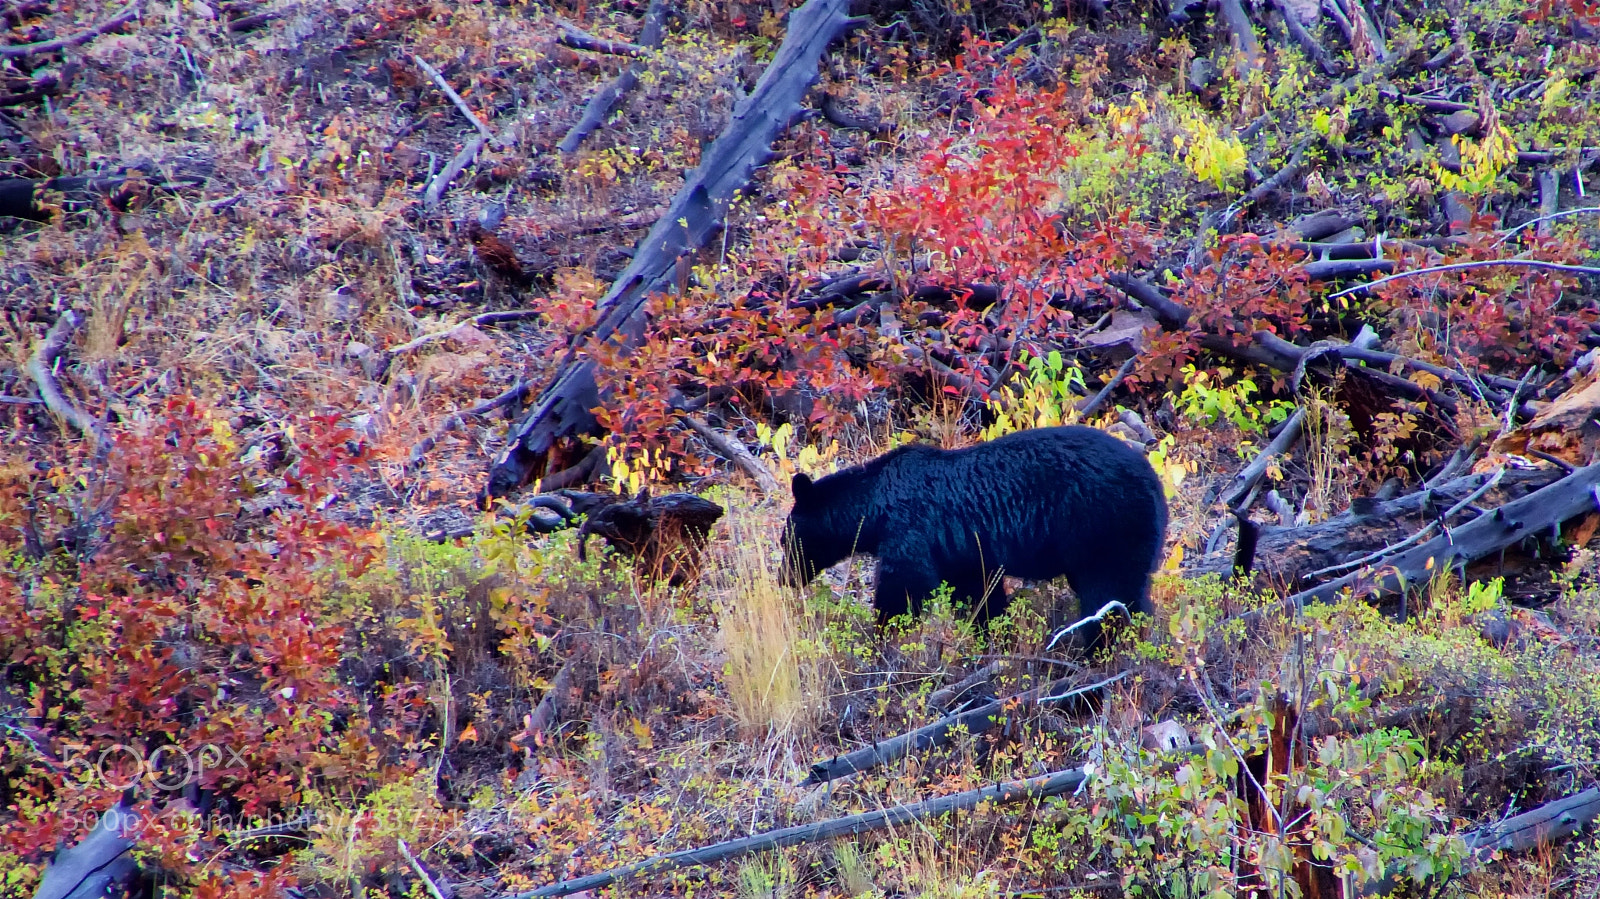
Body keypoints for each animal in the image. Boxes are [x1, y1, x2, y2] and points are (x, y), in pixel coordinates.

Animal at [779, 425, 1168, 634]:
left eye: (786, 540)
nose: (784, 578)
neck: (873, 504)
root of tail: (1156, 485)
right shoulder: (961, 553)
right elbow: (979, 595)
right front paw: (993, 635)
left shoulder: (909, 528)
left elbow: (904, 586)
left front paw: (883, 636)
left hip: (1105, 527)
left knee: (1110, 592)